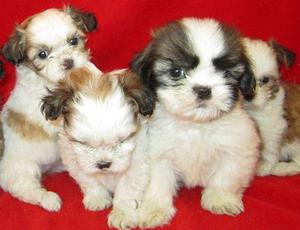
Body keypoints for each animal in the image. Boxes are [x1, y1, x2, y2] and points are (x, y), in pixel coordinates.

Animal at [0, 5, 97, 210]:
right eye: (42, 55)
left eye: (73, 41)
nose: (68, 62)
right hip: (23, 168)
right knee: (23, 187)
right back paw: (48, 199)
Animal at [41, 63, 155, 230]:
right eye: (83, 143)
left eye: (122, 141)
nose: (103, 164)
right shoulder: (74, 158)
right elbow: (88, 179)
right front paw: (97, 198)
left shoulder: (137, 163)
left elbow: (127, 188)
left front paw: (122, 214)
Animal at [131, 18, 260, 228]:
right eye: (176, 72)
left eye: (226, 73)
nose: (203, 90)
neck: (196, 125)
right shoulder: (159, 153)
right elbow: (158, 181)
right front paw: (154, 209)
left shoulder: (238, 148)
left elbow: (228, 174)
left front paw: (220, 198)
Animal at [243, 37, 298, 175]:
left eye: (265, 80)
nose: (248, 95)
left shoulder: (274, 125)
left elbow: (269, 145)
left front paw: (264, 165)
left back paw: (281, 168)